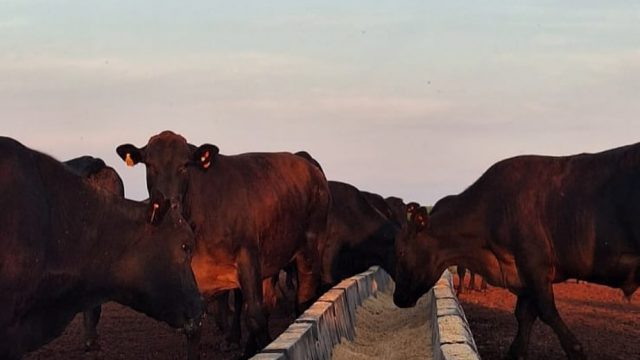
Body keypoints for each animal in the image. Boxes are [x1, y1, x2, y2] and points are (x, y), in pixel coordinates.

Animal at [114, 130, 330, 358]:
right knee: (269, 302)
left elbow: (254, 316)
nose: (167, 206)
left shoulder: (248, 260)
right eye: (150, 165)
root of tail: (310, 167)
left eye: (185, 165)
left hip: (309, 252)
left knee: (302, 296)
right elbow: (196, 328)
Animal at [392, 143, 640, 360]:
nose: (397, 298)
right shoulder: (522, 272)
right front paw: (516, 352)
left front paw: (576, 350)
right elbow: (524, 314)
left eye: (401, 252)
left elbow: (546, 311)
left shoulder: (534, 264)